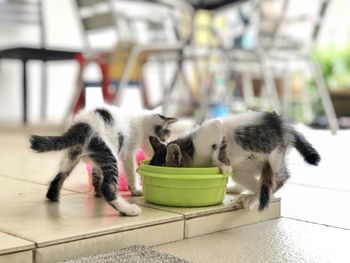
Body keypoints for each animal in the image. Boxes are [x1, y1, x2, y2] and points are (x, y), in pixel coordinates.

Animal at [29, 104, 178, 217]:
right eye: (164, 139)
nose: (166, 145)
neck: (140, 122)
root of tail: (83, 124)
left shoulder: (96, 163)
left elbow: (97, 175)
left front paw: (97, 192)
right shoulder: (128, 153)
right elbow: (130, 172)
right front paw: (136, 189)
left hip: (72, 155)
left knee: (58, 177)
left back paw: (53, 196)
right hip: (109, 153)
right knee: (107, 187)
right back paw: (128, 209)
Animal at [149, 112, 322, 212]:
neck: (189, 148)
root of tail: (284, 125)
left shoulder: (215, 126)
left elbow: (217, 150)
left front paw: (222, 165)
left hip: (276, 154)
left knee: (280, 179)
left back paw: (252, 200)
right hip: (246, 167)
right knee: (254, 182)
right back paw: (243, 192)